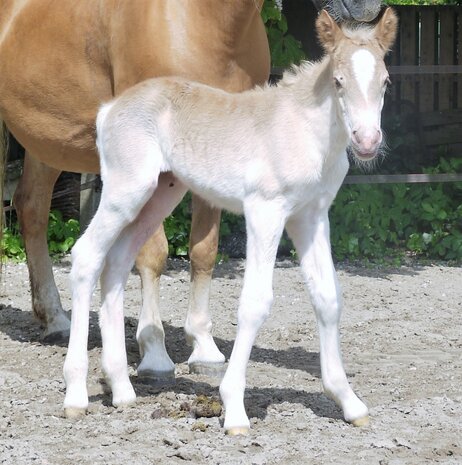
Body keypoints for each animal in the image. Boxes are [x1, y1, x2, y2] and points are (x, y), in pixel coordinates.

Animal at [0, 0, 382, 380]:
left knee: (31, 208)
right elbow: (153, 254)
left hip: (47, 144)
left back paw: (54, 317)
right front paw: (154, 350)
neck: (205, 21)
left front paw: (203, 346)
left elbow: (203, 251)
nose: (367, 7)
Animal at [63, 9, 398, 434]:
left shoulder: (311, 216)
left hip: (159, 194)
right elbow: (255, 302)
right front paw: (234, 408)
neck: (305, 131)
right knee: (87, 256)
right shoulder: (265, 211)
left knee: (118, 262)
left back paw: (122, 388)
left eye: (385, 81)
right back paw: (75, 395)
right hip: (125, 191)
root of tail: (109, 109)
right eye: (339, 80)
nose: (367, 141)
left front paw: (349, 401)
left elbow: (327, 296)